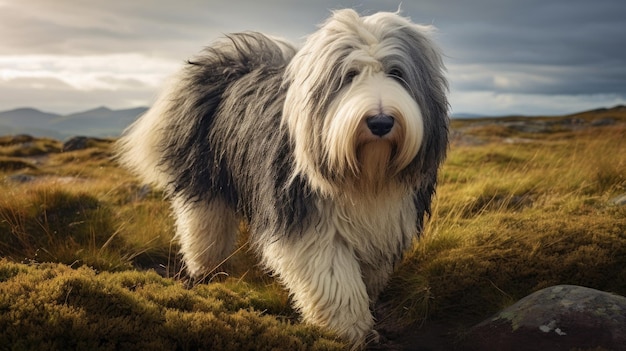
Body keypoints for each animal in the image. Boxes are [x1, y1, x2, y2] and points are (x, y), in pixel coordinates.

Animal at [116, 8, 448, 350]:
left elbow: (369, 272)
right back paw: (207, 269)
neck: (365, 173)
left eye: (397, 73)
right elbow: (334, 279)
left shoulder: (384, 223)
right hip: (205, 177)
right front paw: (348, 331)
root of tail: (230, 63)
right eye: (349, 75)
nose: (381, 122)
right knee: (203, 224)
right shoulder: (307, 222)